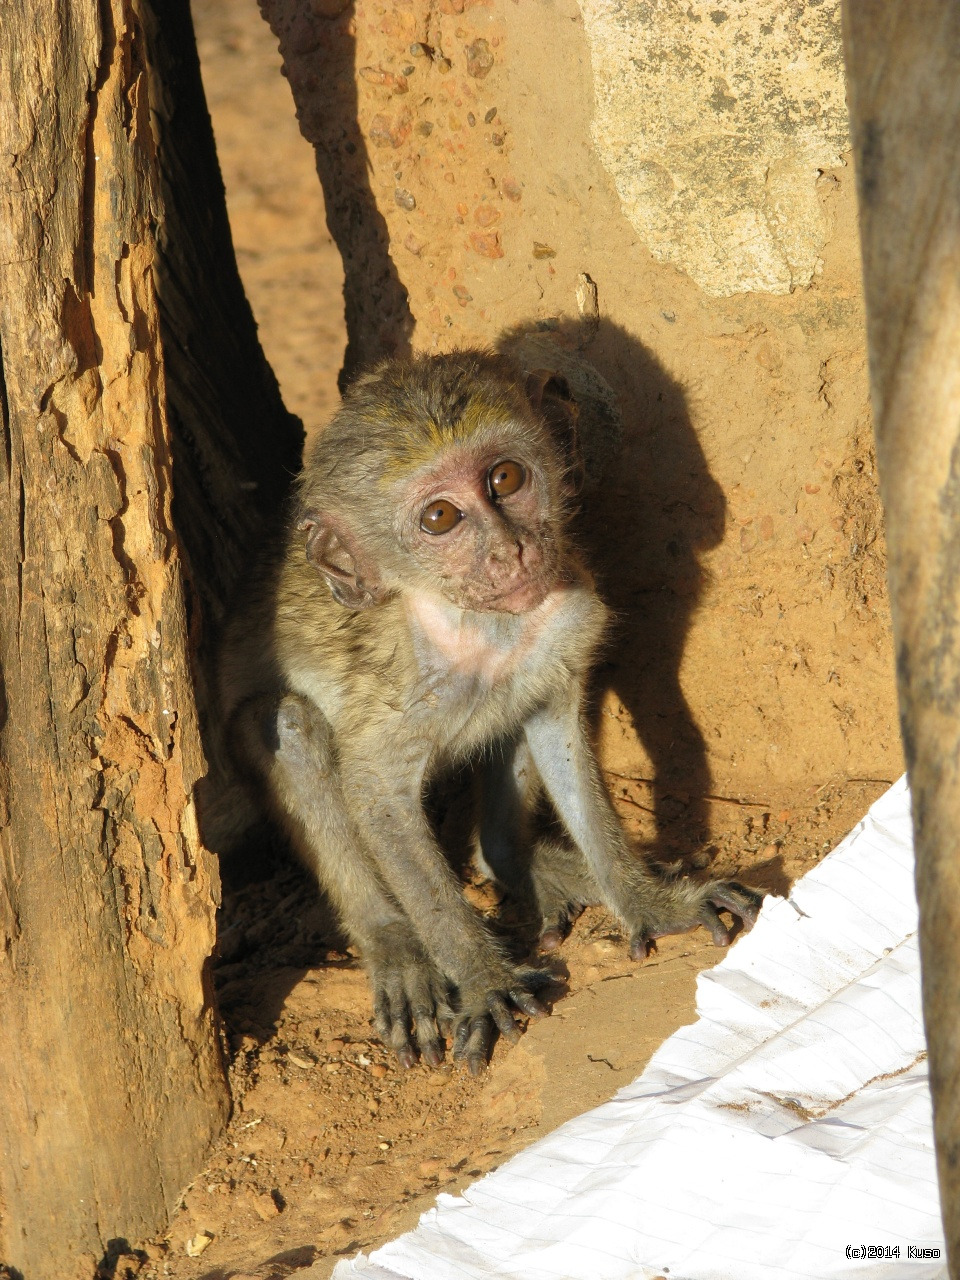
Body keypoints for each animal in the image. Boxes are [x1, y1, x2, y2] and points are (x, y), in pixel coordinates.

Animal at [216, 348, 757, 1070]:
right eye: (440, 519)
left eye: (505, 477)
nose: (511, 551)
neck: (476, 626)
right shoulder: (400, 686)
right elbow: (376, 793)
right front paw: (482, 977)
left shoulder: (565, 615)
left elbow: (554, 724)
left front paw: (644, 897)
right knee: (288, 724)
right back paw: (395, 945)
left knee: (509, 718)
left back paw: (518, 860)